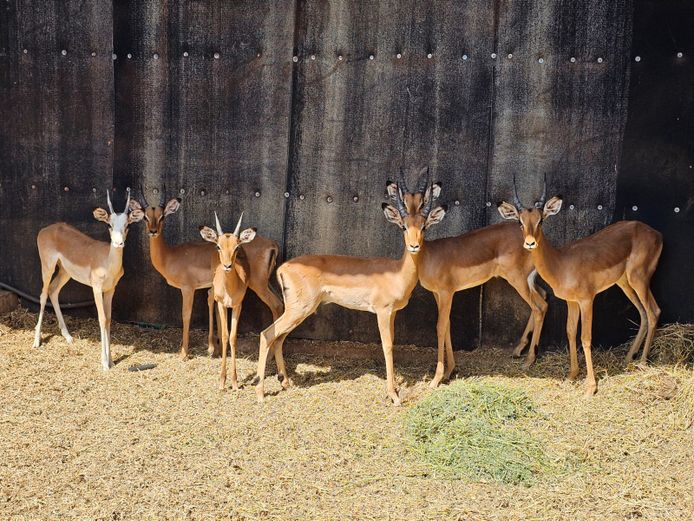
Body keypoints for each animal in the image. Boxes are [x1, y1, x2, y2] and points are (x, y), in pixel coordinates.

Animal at [33, 188, 144, 370]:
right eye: (109, 224)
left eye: (127, 225)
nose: (118, 243)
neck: (107, 263)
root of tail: (46, 229)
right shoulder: (96, 289)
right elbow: (102, 318)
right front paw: (104, 363)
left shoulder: (110, 290)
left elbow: (109, 319)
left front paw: (111, 361)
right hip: (47, 267)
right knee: (43, 295)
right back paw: (36, 341)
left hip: (65, 272)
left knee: (53, 290)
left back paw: (68, 337)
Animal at [130, 193, 283, 359]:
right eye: (145, 217)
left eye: (162, 216)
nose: (153, 231)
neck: (170, 256)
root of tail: (273, 244)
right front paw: (214, 348)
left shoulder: (188, 289)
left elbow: (186, 315)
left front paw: (184, 353)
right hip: (267, 284)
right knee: (282, 304)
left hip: (258, 285)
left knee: (276, 305)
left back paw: (271, 355)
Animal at [254, 167, 447, 405]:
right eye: (403, 226)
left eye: (424, 226)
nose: (414, 246)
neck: (397, 273)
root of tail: (283, 267)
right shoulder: (382, 312)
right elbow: (387, 346)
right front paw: (393, 395)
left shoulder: (392, 313)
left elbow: (391, 343)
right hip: (299, 310)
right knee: (267, 334)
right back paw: (261, 393)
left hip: (299, 311)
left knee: (279, 338)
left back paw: (286, 382)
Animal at [498, 179, 663, 395]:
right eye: (520, 222)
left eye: (541, 220)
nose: (530, 243)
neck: (561, 263)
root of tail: (656, 234)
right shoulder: (571, 302)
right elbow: (570, 332)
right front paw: (572, 375)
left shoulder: (586, 300)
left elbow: (585, 338)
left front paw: (591, 387)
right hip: (625, 283)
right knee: (643, 313)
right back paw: (628, 359)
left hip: (639, 280)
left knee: (653, 312)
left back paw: (642, 363)